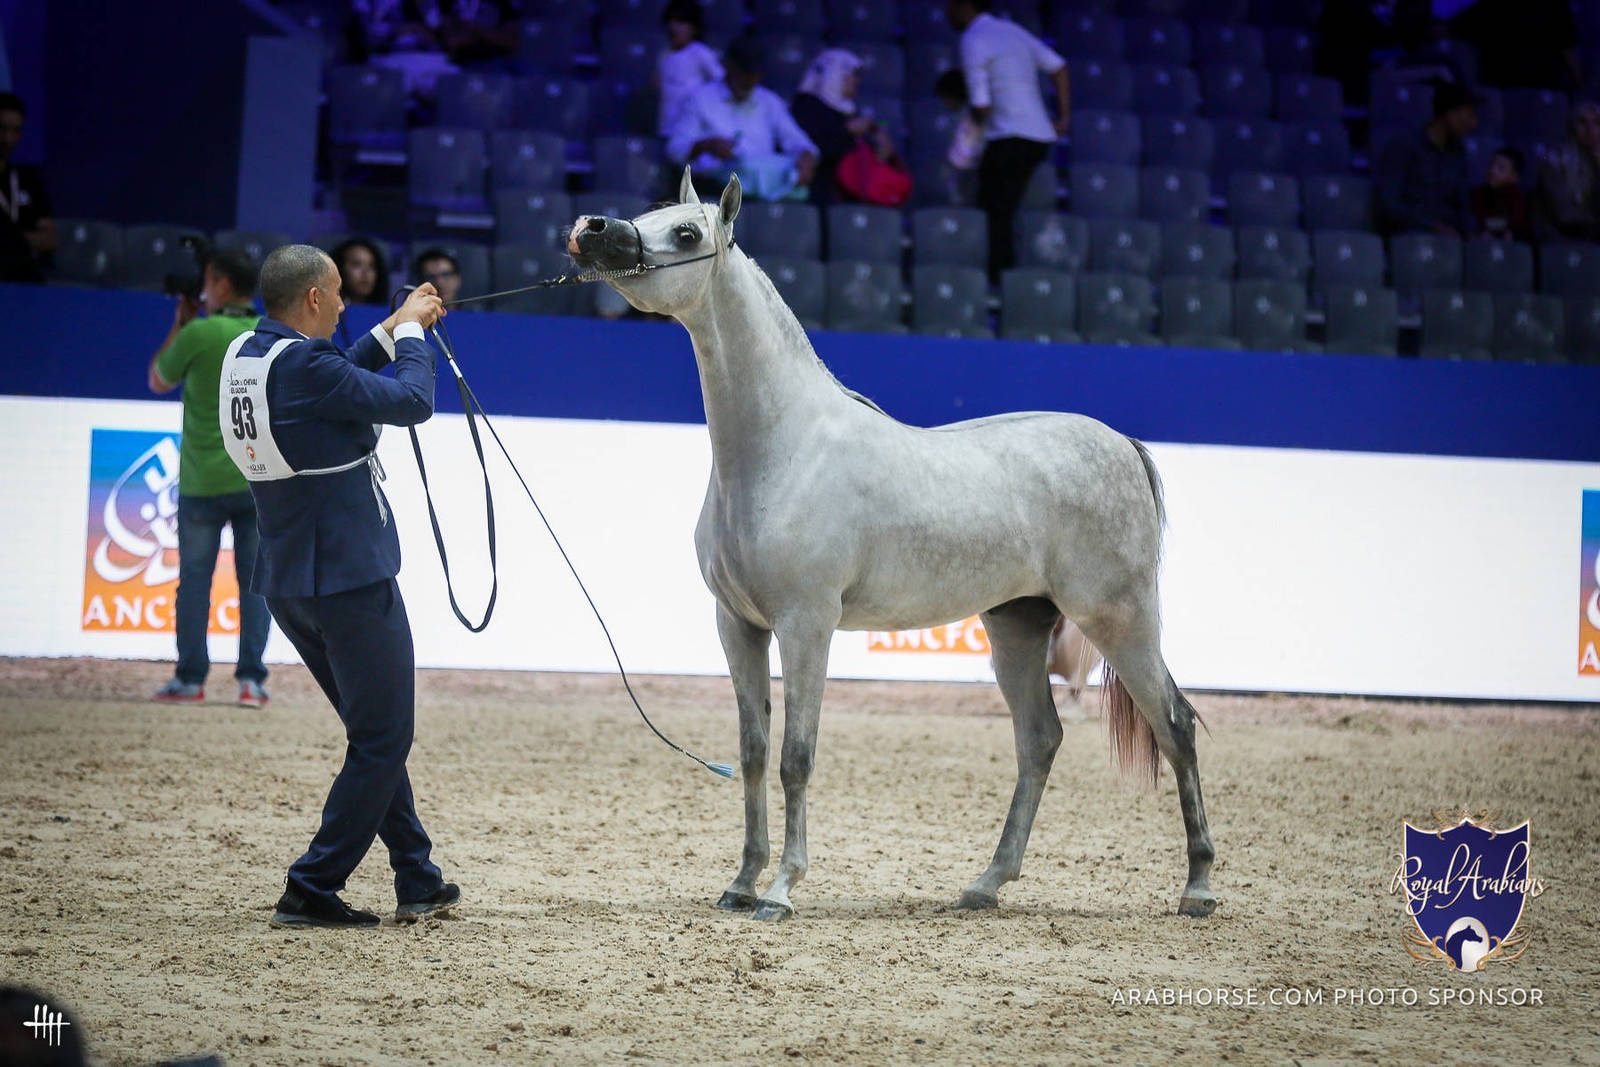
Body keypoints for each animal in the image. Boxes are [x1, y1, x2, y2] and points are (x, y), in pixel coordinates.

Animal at [567, 167, 1216, 922]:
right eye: (648, 214)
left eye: (687, 231)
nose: (592, 230)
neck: (783, 447)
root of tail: (1122, 444)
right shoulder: (738, 625)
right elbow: (754, 750)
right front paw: (741, 881)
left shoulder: (807, 624)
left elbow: (796, 756)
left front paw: (781, 891)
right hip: (1018, 626)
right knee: (1039, 740)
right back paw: (986, 883)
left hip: (1120, 618)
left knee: (1175, 723)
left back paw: (1198, 886)